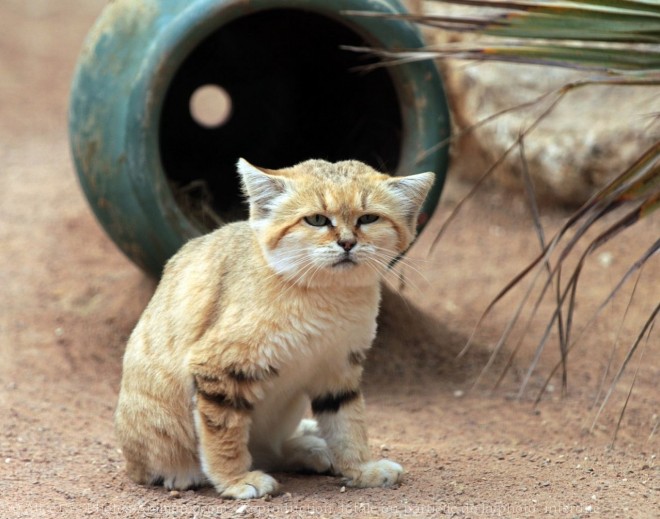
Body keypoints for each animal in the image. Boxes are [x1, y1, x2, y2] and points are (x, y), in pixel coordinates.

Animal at [114, 159, 434, 500]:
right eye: (317, 220)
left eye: (369, 218)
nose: (348, 243)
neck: (327, 296)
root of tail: (132, 465)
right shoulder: (218, 368)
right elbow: (224, 432)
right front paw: (235, 480)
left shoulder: (338, 369)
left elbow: (348, 423)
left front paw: (362, 468)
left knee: (273, 450)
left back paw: (308, 448)